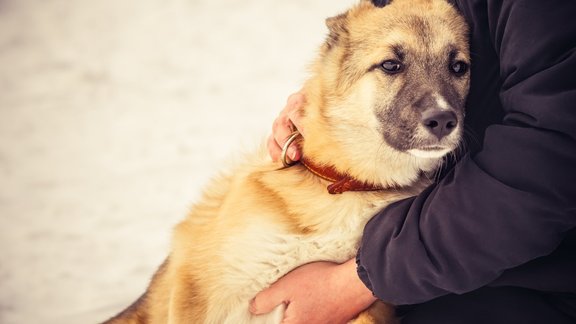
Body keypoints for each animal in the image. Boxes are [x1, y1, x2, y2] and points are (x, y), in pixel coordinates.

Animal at [104, 0, 468, 322]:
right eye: (391, 65)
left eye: (458, 67)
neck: (345, 187)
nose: (443, 121)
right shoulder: (195, 293)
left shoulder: (363, 309)